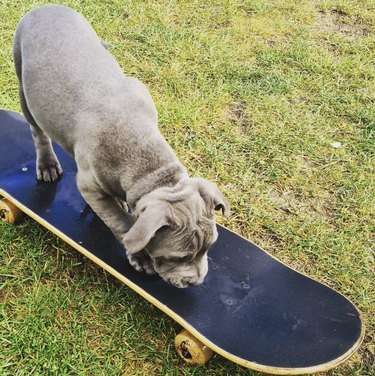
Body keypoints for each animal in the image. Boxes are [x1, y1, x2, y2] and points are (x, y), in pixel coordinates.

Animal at [12, 4, 229, 288]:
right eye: (177, 257)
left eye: (209, 247)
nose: (197, 282)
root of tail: (44, 6)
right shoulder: (89, 186)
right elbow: (121, 224)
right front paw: (140, 256)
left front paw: (123, 204)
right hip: (23, 84)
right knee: (37, 130)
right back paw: (47, 164)